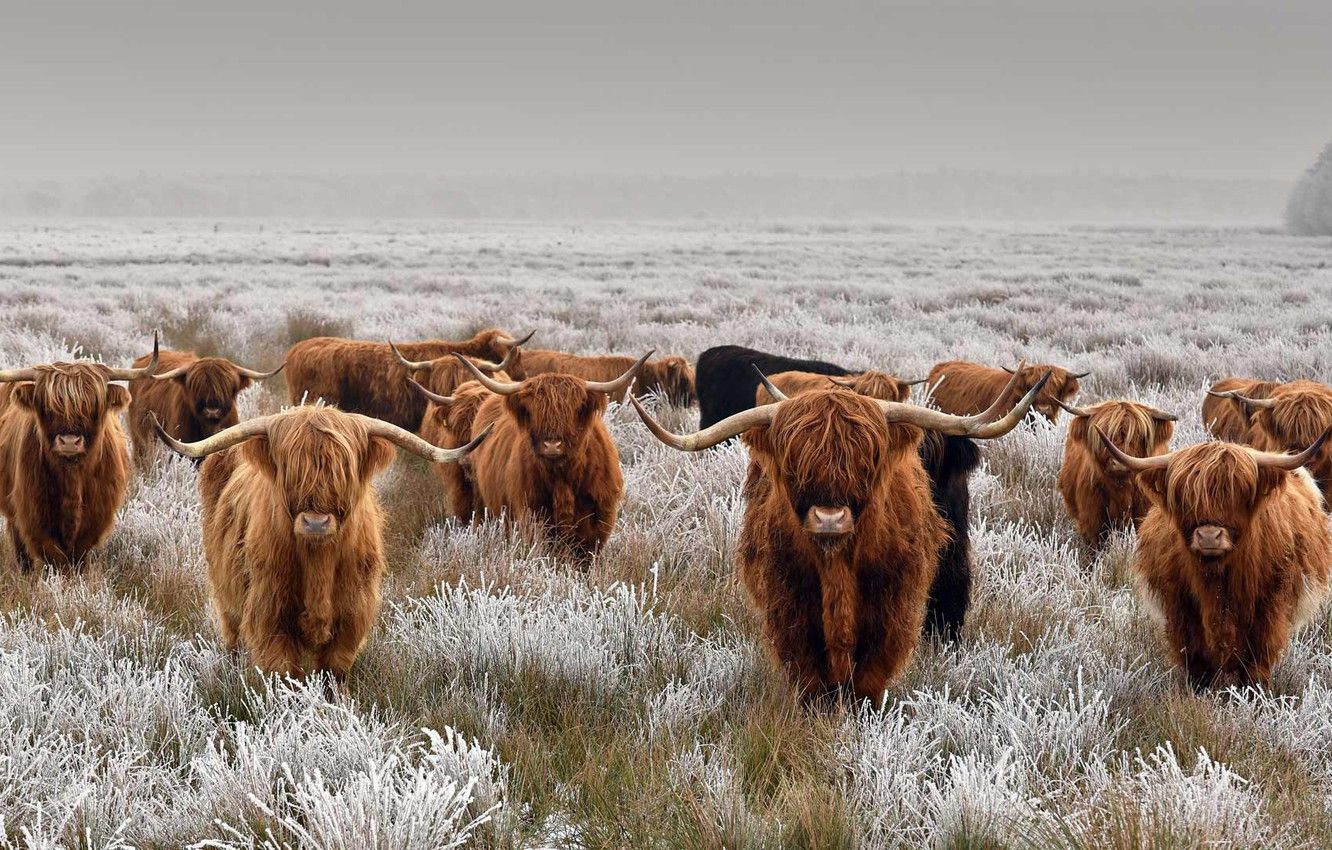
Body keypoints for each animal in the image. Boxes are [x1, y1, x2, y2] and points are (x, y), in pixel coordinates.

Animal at [0, 336, 159, 569]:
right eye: (48, 407)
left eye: (93, 406)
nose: (69, 441)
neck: (72, 478)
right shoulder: (33, 516)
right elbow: (55, 558)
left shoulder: (96, 519)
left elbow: (77, 558)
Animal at [153, 404, 488, 679]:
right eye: (290, 469)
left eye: (343, 469)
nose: (316, 522)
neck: (318, 562)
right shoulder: (269, 614)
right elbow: (285, 673)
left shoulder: (352, 615)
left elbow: (334, 672)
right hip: (227, 594)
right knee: (232, 635)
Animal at [455, 351, 650, 559]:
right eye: (533, 411)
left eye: (574, 410)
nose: (552, 445)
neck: (562, 478)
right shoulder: (533, 515)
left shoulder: (598, 522)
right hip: (482, 502)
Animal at [632, 369, 1049, 702]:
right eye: (793, 464)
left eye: (868, 460)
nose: (829, 518)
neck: (837, 568)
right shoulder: (789, 609)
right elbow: (810, 678)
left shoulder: (891, 610)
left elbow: (869, 678)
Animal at [1101, 429, 1332, 689]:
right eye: (1184, 496)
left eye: (1239, 492)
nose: (1209, 536)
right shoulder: (1180, 606)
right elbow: (1195, 655)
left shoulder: (1270, 605)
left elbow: (1258, 656)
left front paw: (1254, 690)